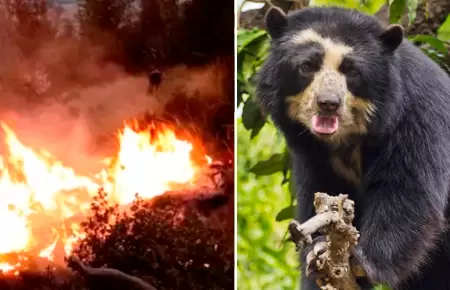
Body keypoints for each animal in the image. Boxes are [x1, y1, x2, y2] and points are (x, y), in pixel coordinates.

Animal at [255, 3, 450, 290]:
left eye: (352, 71)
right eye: (307, 66)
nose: (328, 103)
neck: (348, 138)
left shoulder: (418, 118)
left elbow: (407, 192)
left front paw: (362, 262)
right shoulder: (314, 156)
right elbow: (321, 195)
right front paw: (318, 252)